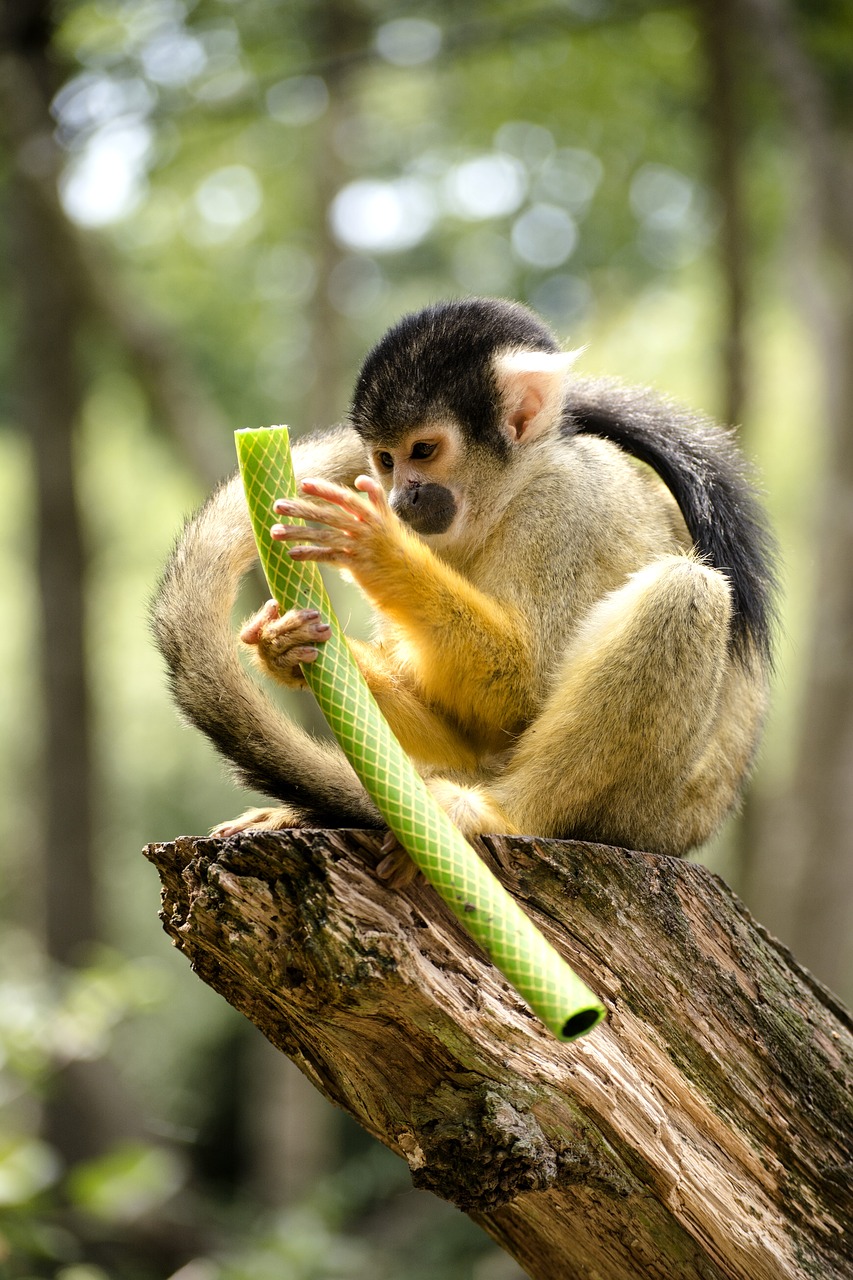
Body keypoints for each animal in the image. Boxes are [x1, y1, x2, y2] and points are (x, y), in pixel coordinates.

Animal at [149, 295, 773, 865]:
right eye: (385, 460)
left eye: (423, 451)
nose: (401, 500)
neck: (507, 497)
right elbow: (465, 727)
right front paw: (284, 645)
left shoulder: (564, 508)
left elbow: (523, 687)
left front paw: (381, 551)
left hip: (654, 810)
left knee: (686, 590)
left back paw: (504, 812)